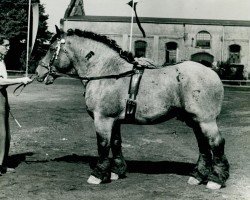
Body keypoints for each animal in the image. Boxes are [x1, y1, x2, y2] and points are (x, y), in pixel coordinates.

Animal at [35, 27, 229, 189]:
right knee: (203, 145)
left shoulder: (102, 119)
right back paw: (197, 176)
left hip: (205, 120)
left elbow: (103, 144)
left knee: (216, 143)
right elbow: (116, 143)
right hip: (194, 120)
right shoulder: (114, 120)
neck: (107, 72)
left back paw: (216, 180)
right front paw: (116, 172)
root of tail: (212, 73)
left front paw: (98, 175)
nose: (38, 73)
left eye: (51, 49)